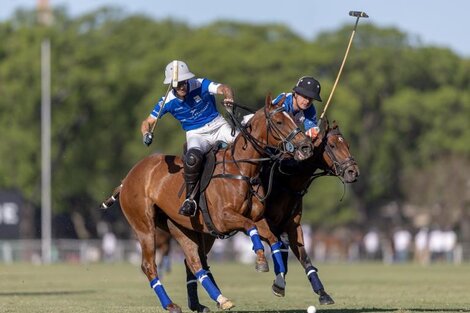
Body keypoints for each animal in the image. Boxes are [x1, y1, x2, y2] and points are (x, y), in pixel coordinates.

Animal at [101, 95, 314, 312]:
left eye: (294, 119)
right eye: (279, 122)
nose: (306, 147)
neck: (241, 170)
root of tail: (126, 179)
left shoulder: (257, 217)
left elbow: (271, 238)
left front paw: (278, 280)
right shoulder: (223, 219)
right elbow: (251, 227)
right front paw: (262, 261)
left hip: (180, 226)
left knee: (194, 262)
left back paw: (220, 299)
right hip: (144, 226)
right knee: (149, 265)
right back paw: (170, 304)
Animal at [184, 116, 360, 310]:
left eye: (348, 145)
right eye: (333, 146)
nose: (353, 172)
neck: (286, 181)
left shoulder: (292, 225)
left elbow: (304, 257)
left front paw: (322, 293)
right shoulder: (267, 223)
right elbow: (279, 249)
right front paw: (278, 283)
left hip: (207, 233)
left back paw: (199, 302)